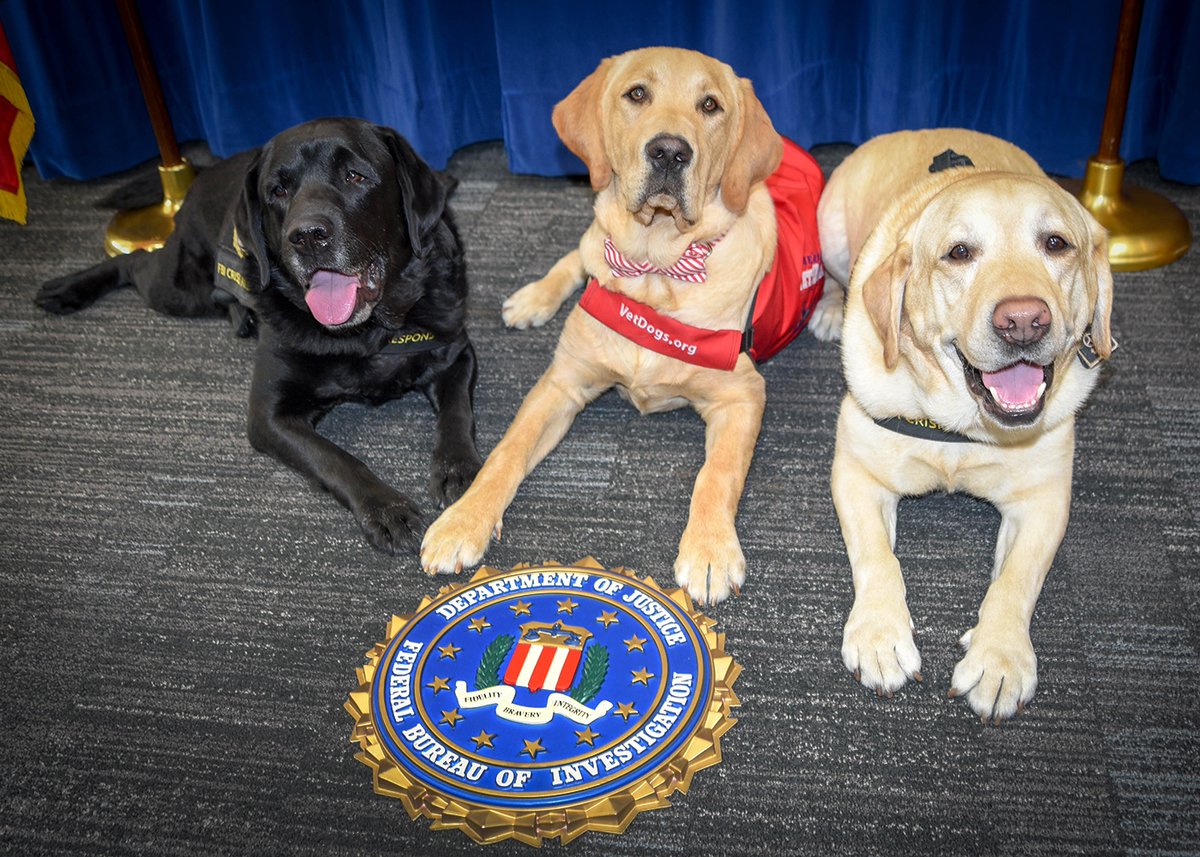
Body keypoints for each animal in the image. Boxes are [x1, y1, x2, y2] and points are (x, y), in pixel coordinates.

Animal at [39, 115, 484, 554]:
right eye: (278, 191)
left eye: (355, 176)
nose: (306, 235)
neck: (367, 333)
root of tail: (205, 170)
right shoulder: (268, 416)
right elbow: (334, 458)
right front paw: (386, 508)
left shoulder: (456, 352)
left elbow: (457, 413)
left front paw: (460, 470)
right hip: (179, 289)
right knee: (134, 260)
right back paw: (66, 289)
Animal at [422, 46, 796, 604]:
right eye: (636, 94)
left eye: (710, 105)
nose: (670, 152)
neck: (656, 270)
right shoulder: (562, 383)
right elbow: (506, 453)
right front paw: (462, 520)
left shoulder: (743, 393)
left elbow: (718, 472)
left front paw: (709, 549)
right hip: (591, 239)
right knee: (577, 256)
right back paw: (533, 298)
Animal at [816, 128, 1113, 720]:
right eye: (958, 253)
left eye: (1056, 243)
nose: (1023, 321)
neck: (962, 430)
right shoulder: (857, 475)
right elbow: (878, 558)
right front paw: (880, 635)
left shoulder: (1043, 501)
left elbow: (1016, 581)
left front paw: (999, 657)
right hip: (831, 232)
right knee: (837, 280)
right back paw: (831, 308)